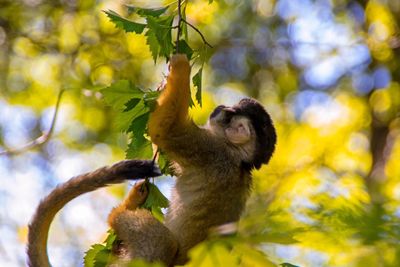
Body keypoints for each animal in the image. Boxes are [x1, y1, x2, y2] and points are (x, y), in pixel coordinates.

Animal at [108, 54, 276, 266]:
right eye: (230, 109)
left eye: (230, 114)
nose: (221, 108)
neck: (238, 158)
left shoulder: (212, 150)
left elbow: (164, 131)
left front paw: (181, 67)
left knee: (165, 245)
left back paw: (119, 213)